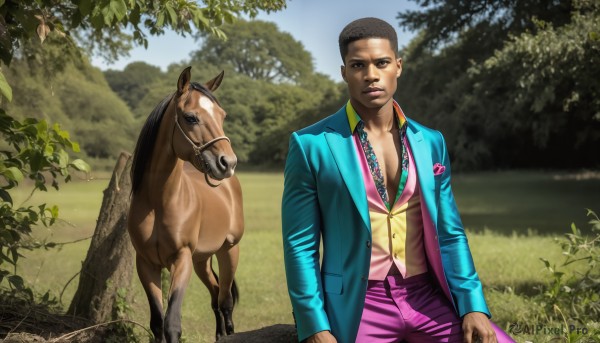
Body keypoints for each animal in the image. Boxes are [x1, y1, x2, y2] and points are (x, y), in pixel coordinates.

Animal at [128, 67, 244, 343]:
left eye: (222, 115)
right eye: (190, 117)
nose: (228, 163)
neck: (159, 202)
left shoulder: (181, 260)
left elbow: (172, 323)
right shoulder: (146, 263)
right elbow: (157, 323)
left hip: (229, 251)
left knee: (225, 302)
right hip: (202, 260)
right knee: (215, 295)